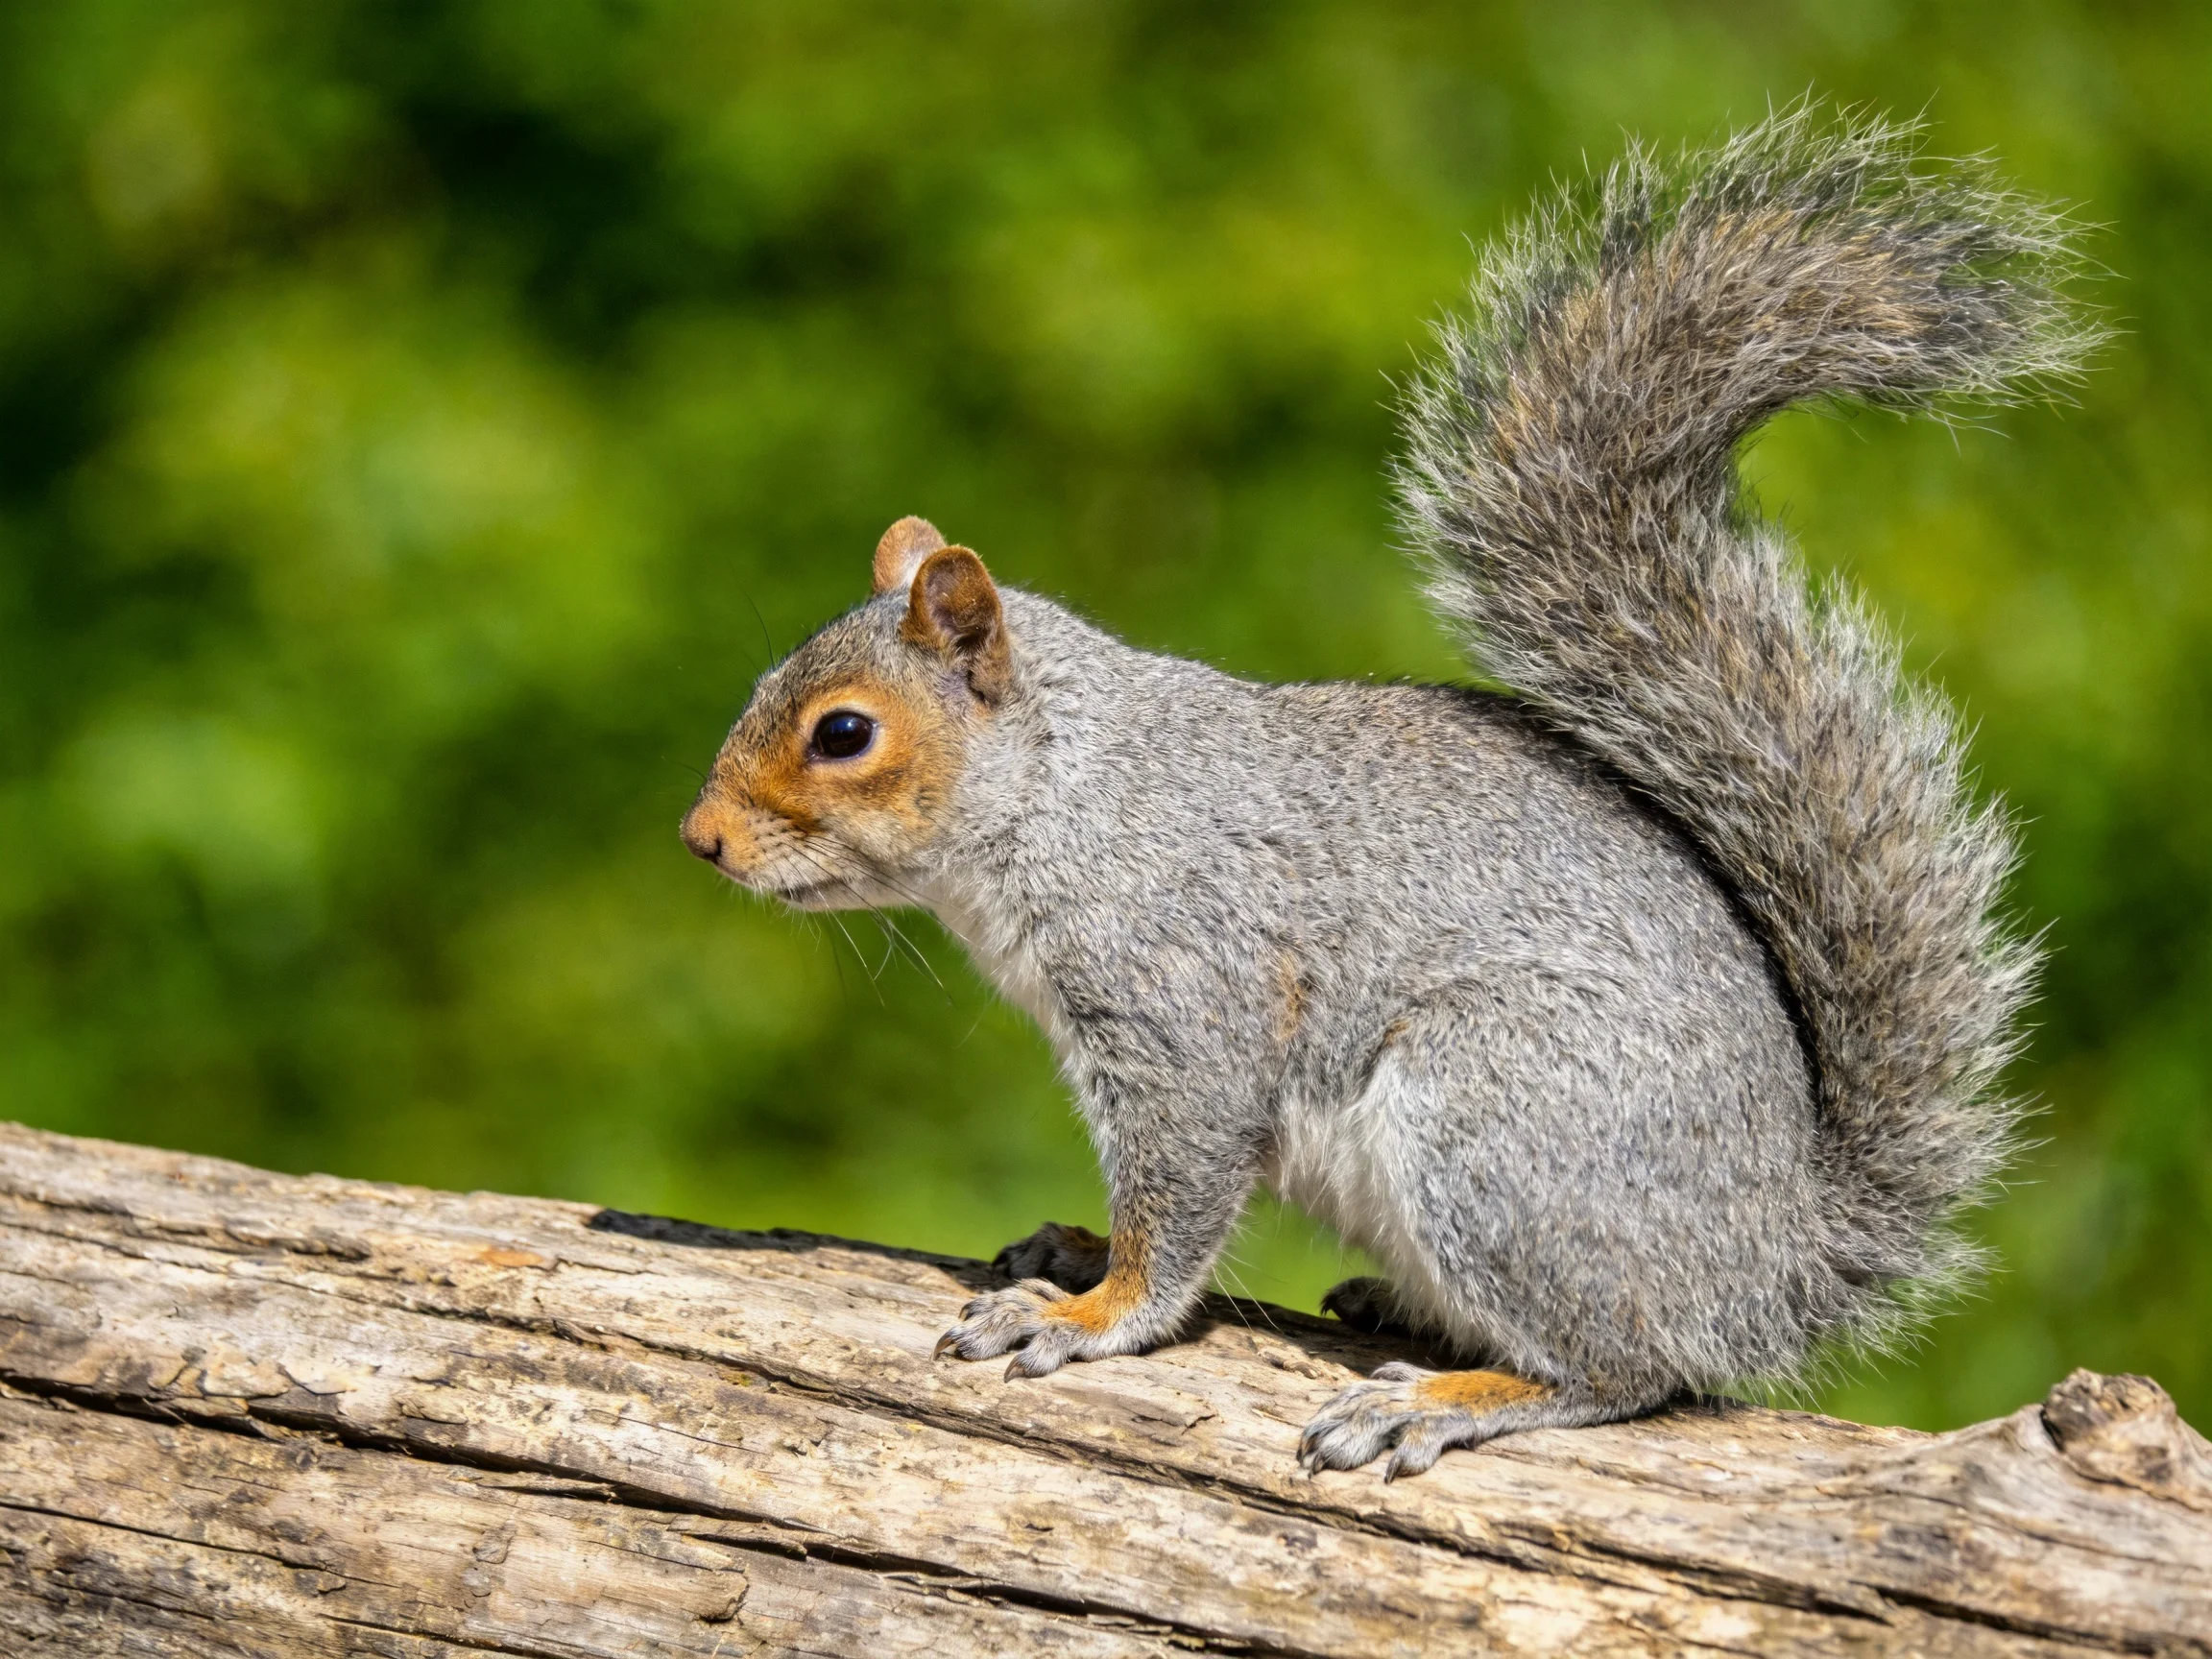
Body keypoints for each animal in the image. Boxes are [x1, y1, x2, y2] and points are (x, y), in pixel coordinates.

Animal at [680, 106, 2095, 1478]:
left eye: (844, 733)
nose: (700, 840)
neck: (1069, 790)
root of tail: (1778, 1264)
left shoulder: (1185, 1001)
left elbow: (1178, 1198)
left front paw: (1089, 1313)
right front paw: (1073, 1253)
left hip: (1498, 1123)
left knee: (1625, 1370)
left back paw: (1446, 1399)